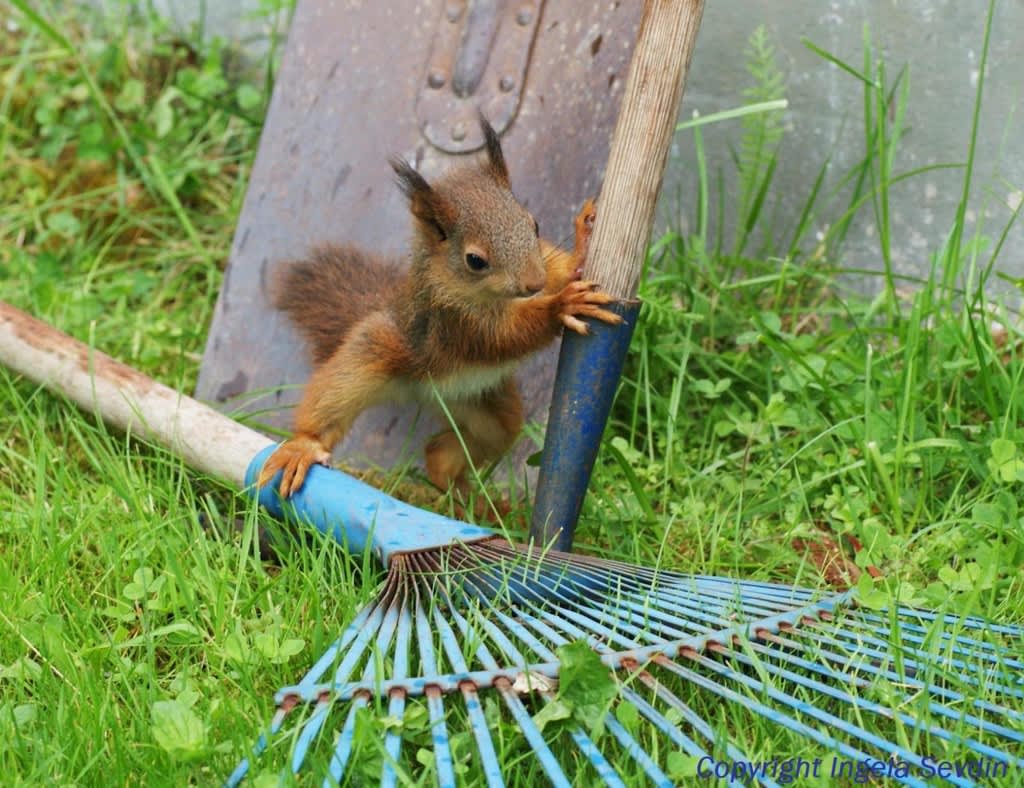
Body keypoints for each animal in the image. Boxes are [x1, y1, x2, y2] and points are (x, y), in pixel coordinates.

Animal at [260, 115, 618, 497]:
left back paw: (473, 500)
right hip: (371, 354)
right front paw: (561, 305)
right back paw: (304, 446)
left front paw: (583, 243)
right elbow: (506, 335)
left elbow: (559, 271)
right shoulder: (454, 324)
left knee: (449, 452)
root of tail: (423, 389)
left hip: (482, 404)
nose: (533, 284)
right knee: (332, 399)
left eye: (533, 225)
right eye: (475, 260)